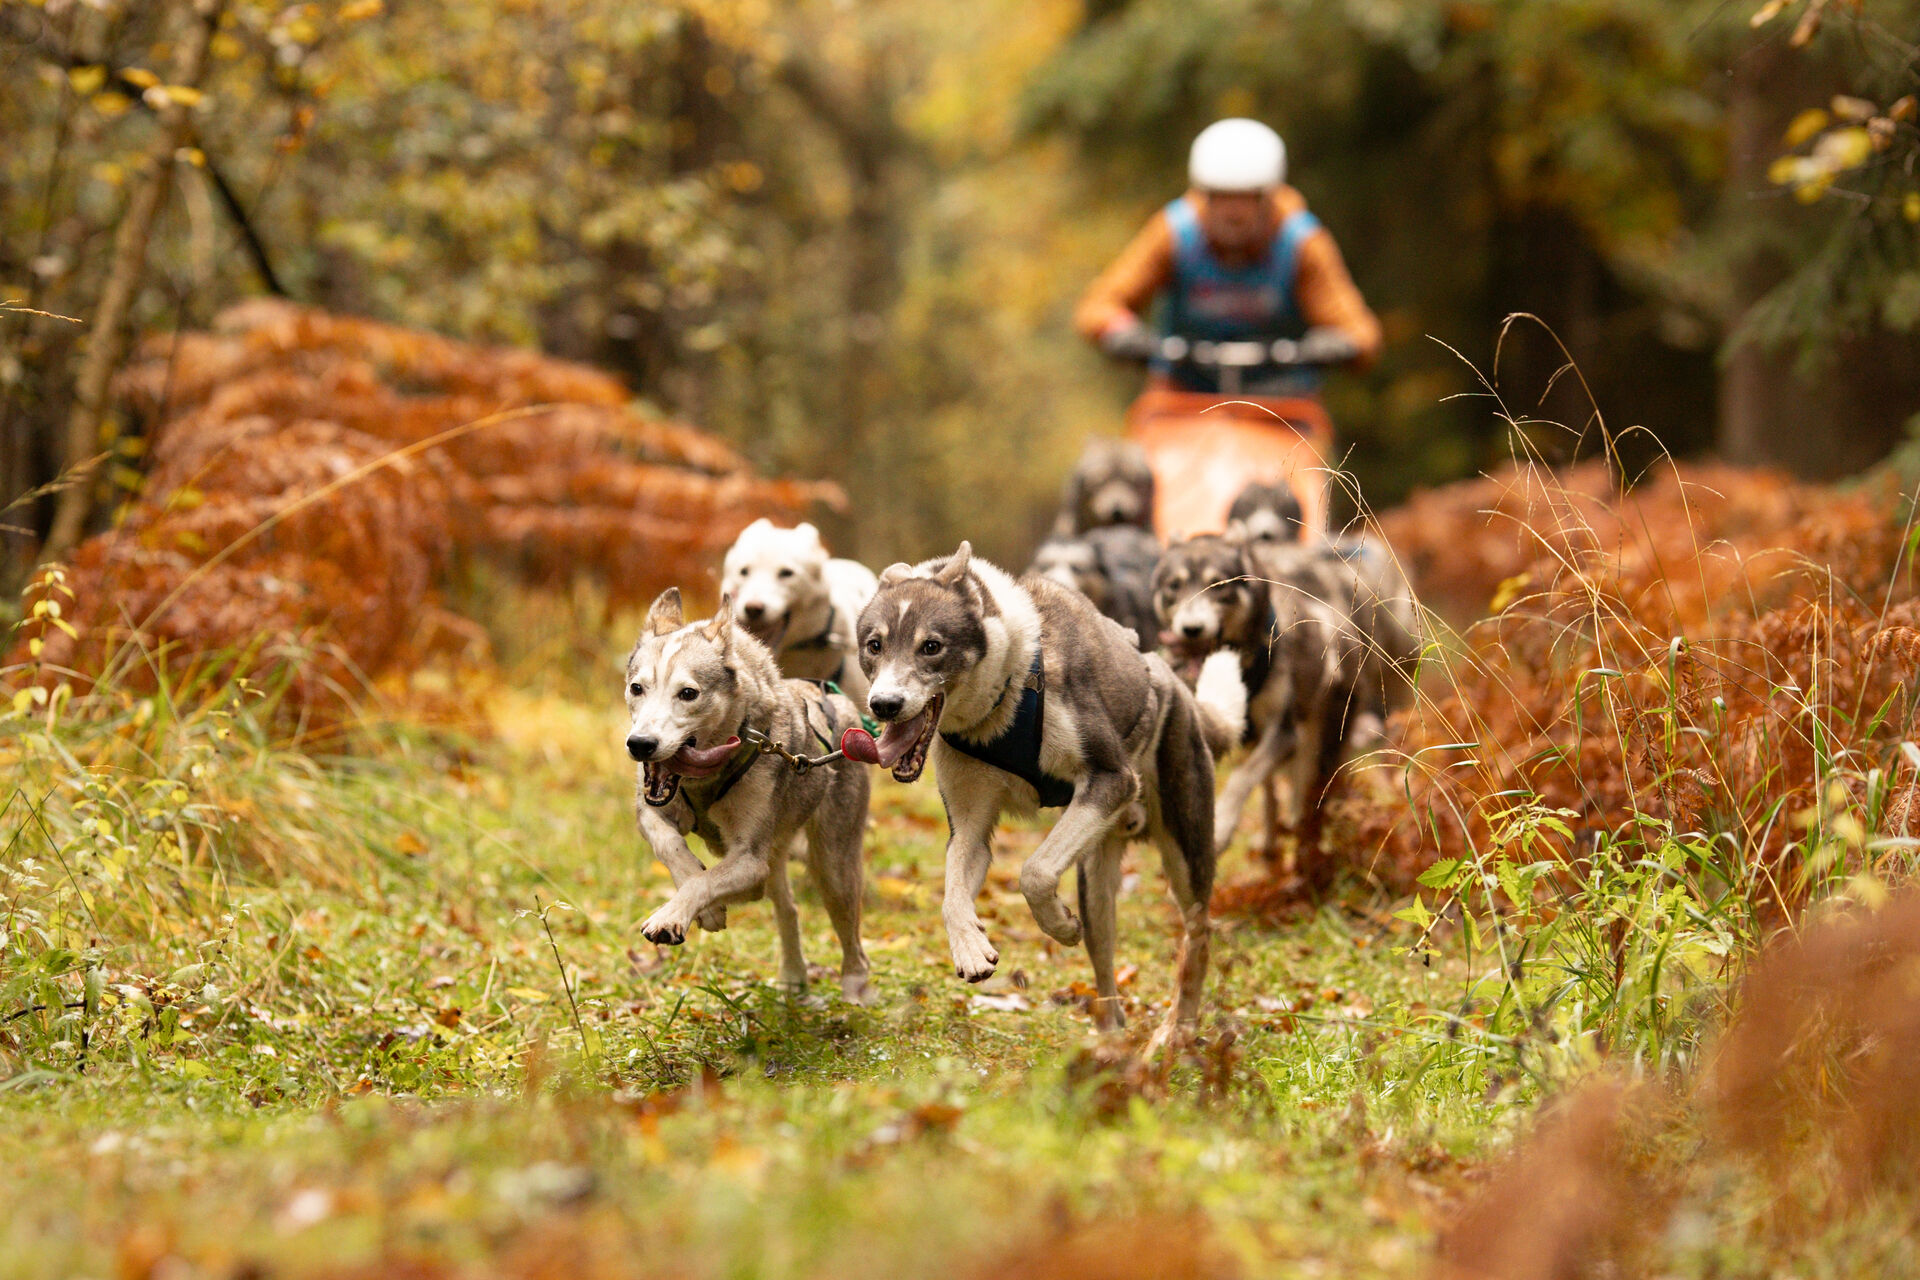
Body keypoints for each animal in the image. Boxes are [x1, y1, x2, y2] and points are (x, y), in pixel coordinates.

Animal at [625, 587, 875, 997]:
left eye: (688, 693)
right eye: (637, 688)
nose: (641, 744)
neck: (705, 780)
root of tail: (840, 703)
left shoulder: (749, 861)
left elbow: (705, 881)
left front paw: (673, 915)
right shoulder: (653, 812)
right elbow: (674, 850)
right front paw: (706, 908)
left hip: (833, 864)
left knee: (851, 935)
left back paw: (856, 988)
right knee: (788, 908)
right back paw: (793, 975)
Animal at [856, 545, 1244, 1043]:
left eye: (931, 645)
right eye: (874, 645)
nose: (884, 705)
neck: (1002, 701)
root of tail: (1175, 684)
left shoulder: (1110, 779)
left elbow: (1034, 872)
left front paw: (1057, 926)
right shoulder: (970, 829)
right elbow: (952, 895)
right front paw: (971, 948)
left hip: (1184, 855)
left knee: (1198, 936)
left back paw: (1180, 1029)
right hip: (1094, 886)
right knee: (1104, 960)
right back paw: (1112, 1037)